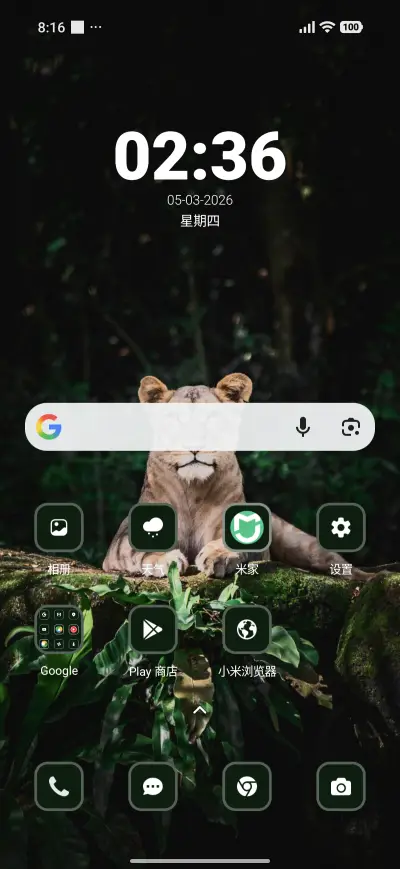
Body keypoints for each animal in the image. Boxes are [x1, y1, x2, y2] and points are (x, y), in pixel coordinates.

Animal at [103, 373, 372, 582]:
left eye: (212, 419)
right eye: (175, 421)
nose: (195, 444)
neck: (192, 490)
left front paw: (217, 556)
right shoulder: (122, 540)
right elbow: (139, 550)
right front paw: (164, 559)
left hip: (301, 543)